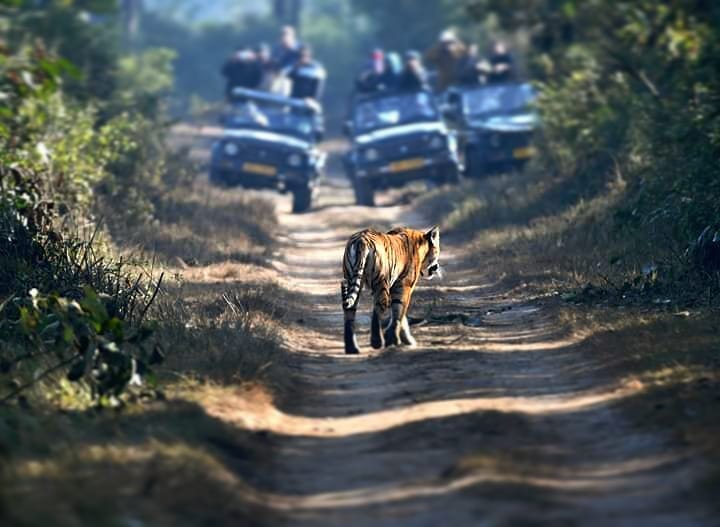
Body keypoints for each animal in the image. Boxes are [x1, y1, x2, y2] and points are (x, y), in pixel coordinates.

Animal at [342, 226, 442, 354]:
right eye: (437, 251)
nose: (437, 267)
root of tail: (361, 240)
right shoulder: (404, 286)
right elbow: (399, 312)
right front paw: (393, 339)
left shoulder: (396, 286)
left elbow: (401, 315)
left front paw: (406, 340)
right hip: (381, 282)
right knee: (378, 308)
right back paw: (377, 342)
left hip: (351, 280)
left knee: (349, 311)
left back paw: (352, 348)